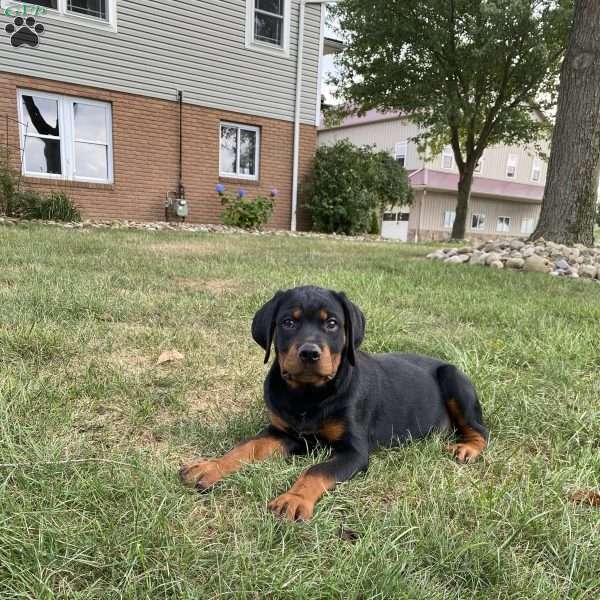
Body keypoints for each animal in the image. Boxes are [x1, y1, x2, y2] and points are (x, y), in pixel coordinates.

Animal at [180, 286, 490, 520]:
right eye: (288, 322)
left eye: (331, 324)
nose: (309, 353)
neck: (308, 395)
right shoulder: (282, 432)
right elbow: (246, 447)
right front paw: (210, 467)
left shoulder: (354, 451)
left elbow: (316, 469)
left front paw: (293, 499)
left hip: (453, 378)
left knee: (481, 430)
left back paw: (466, 449)